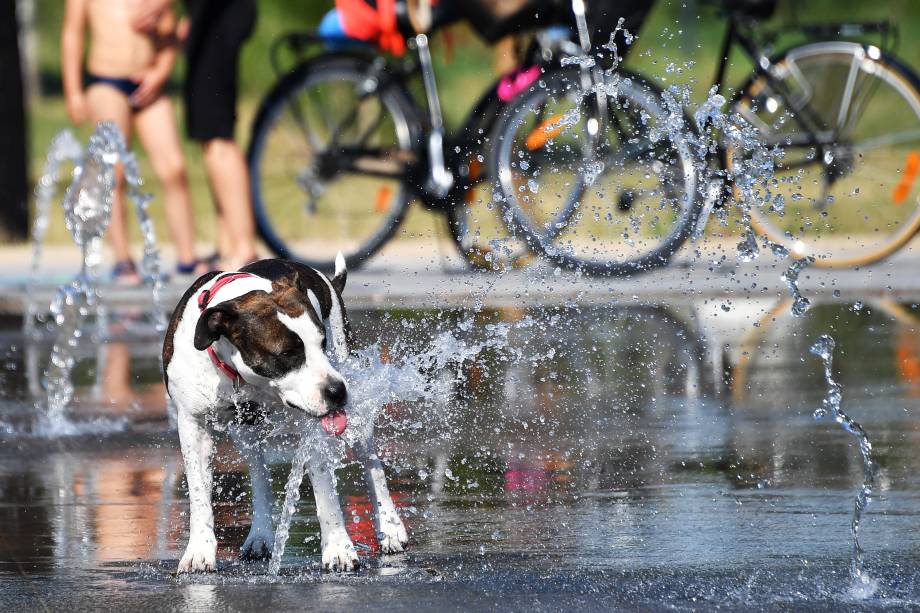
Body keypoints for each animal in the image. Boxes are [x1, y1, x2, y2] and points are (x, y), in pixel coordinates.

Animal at [164, 256, 408, 572]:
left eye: (322, 343)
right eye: (287, 354)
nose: (338, 391)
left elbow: (325, 487)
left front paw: (338, 548)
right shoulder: (192, 424)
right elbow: (198, 493)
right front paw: (198, 551)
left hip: (355, 416)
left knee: (371, 463)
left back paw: (390, 527)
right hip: (245, 431)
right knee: (258, 473)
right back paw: (260, 535)